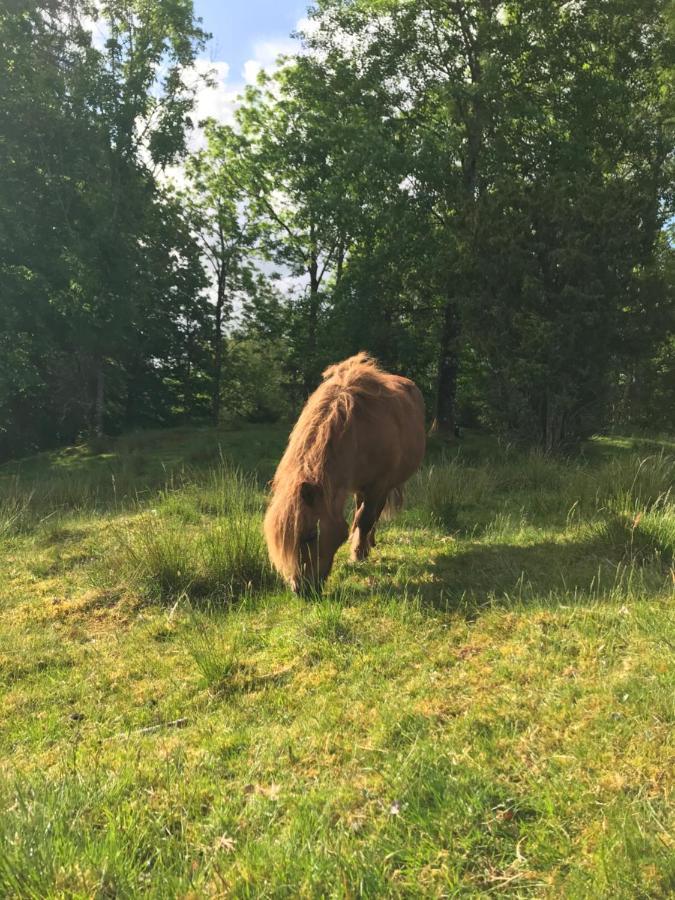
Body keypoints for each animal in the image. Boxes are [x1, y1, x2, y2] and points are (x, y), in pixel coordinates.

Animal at [266, 356, 428, 596]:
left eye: (310, 535)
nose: (300, 590)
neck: (358, 432)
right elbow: (361, 518)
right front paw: (358, 547)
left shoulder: (378, 486)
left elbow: (365, 518)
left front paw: (357, 555)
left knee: (373, 514)